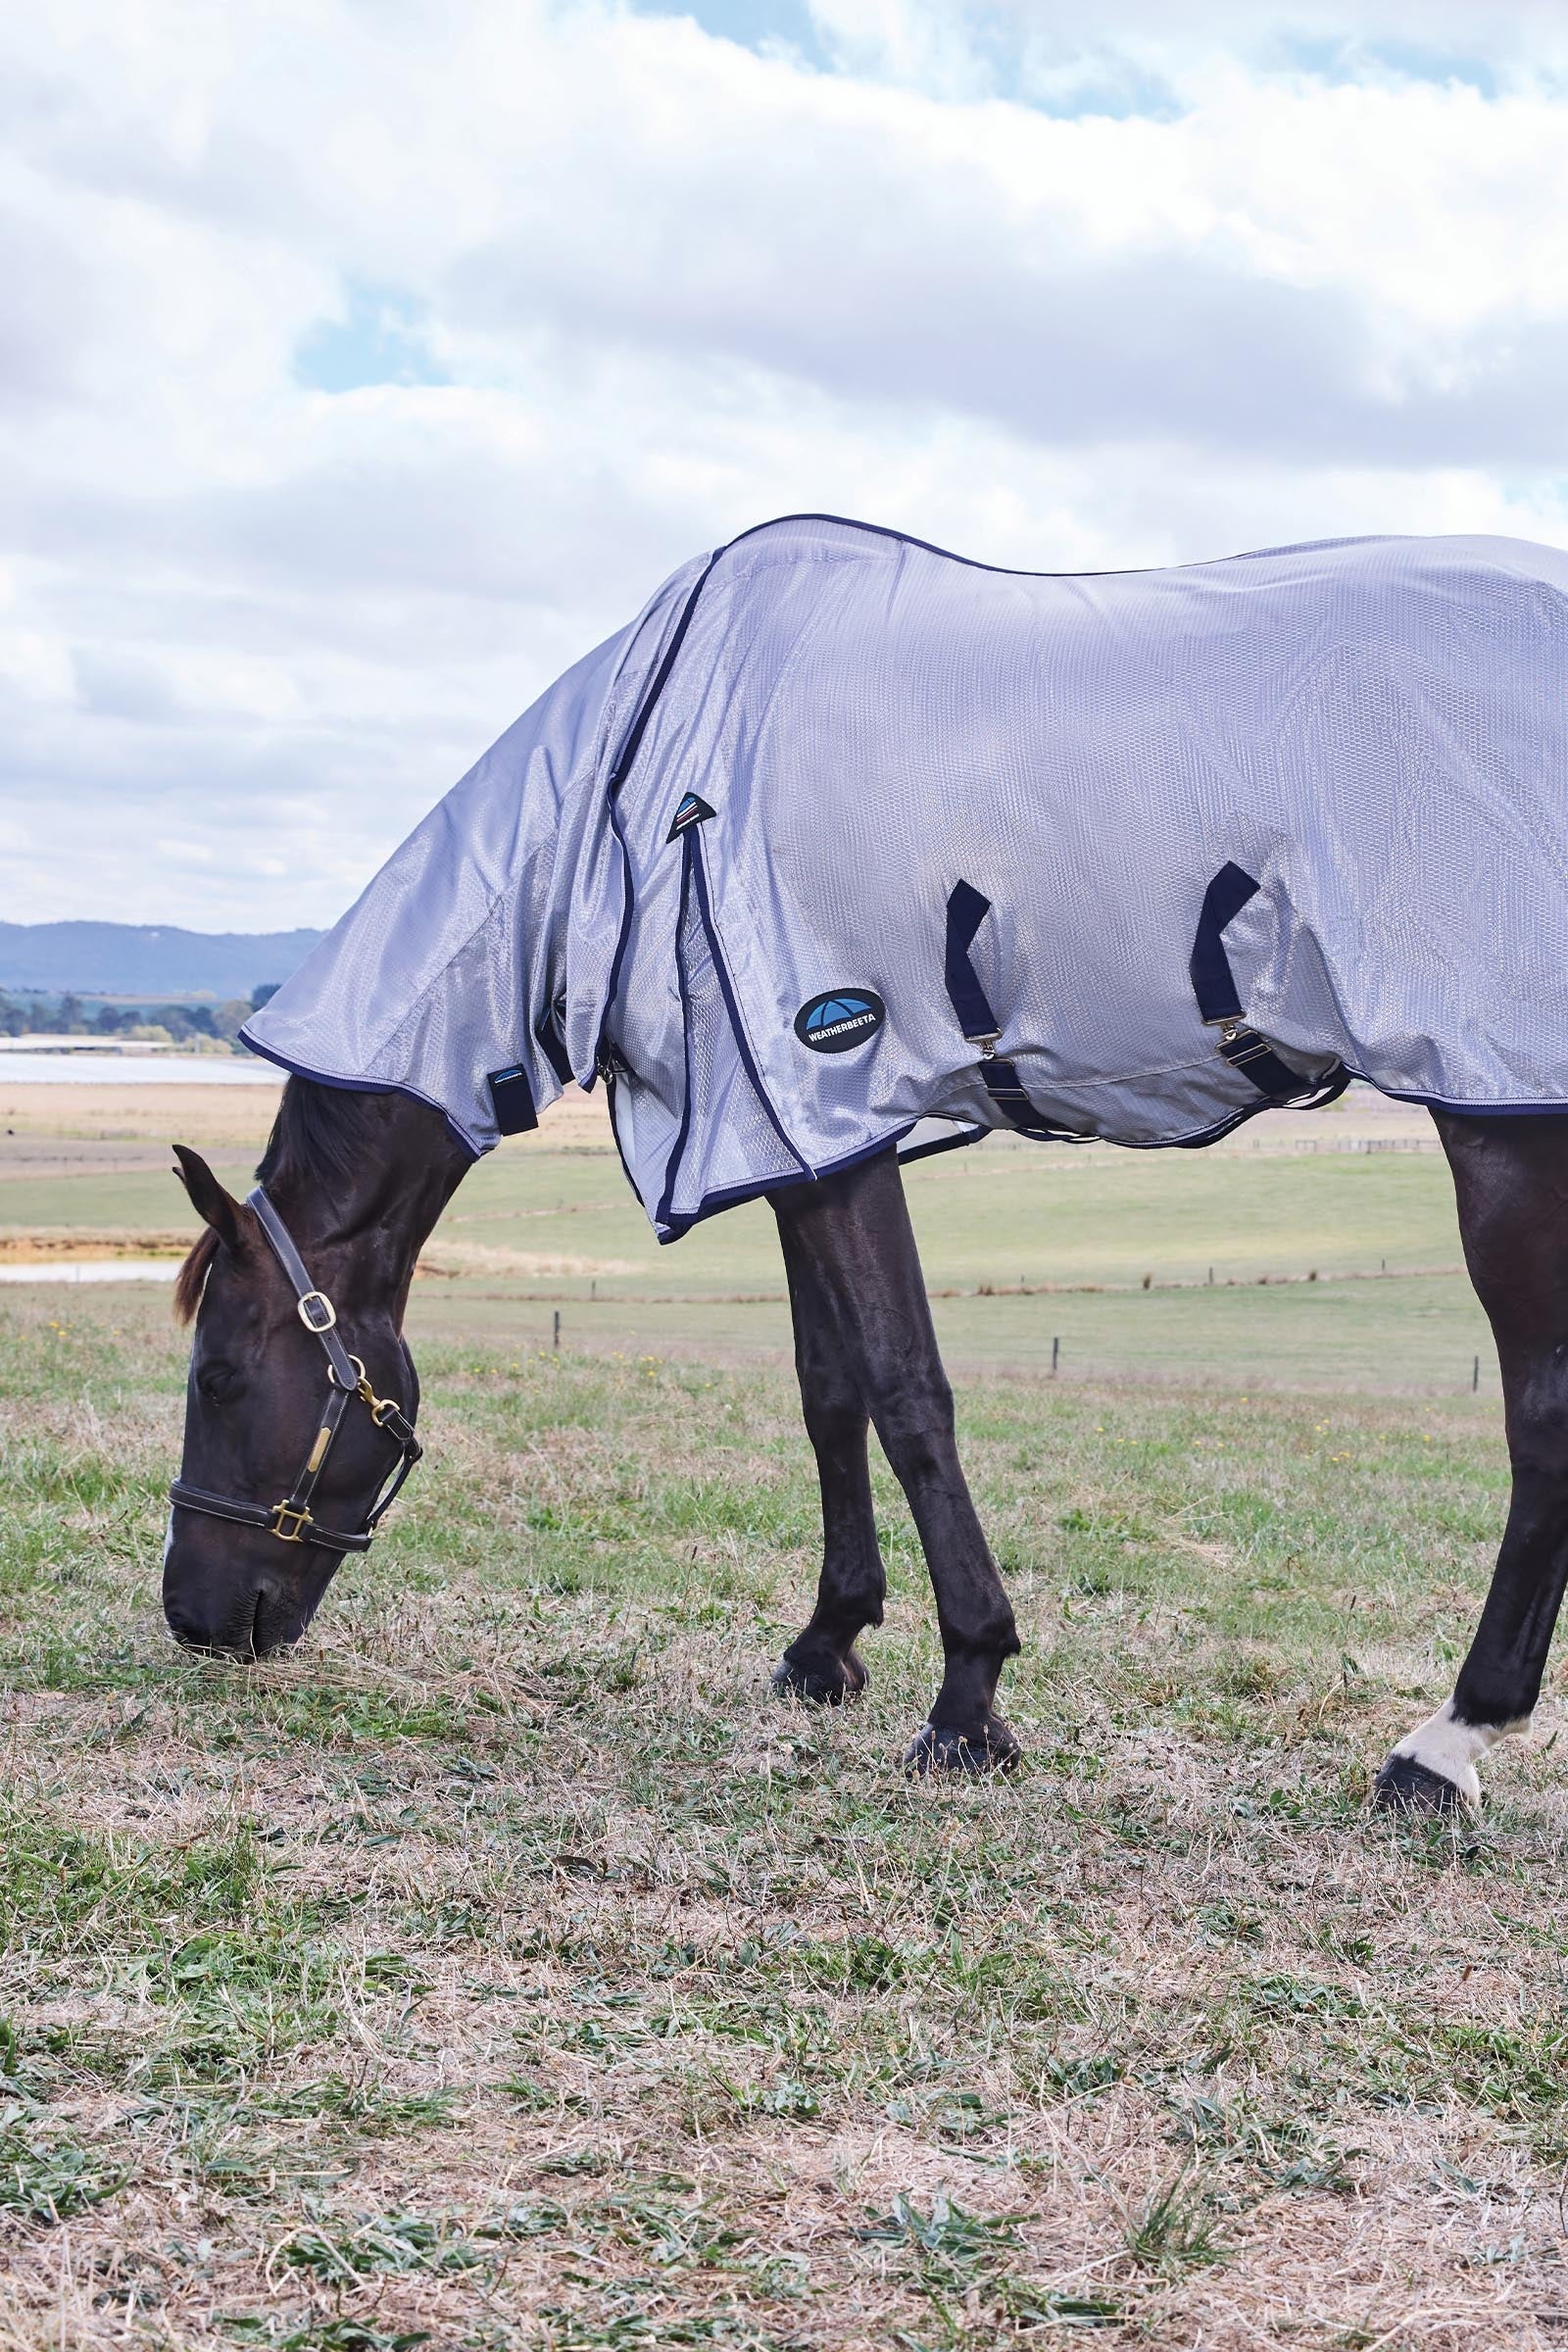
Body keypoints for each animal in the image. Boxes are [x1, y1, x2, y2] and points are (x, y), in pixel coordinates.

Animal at [163, 515, 1568, 1814]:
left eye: (220, 1378)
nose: (195, 1618)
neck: (640, 787)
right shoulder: (782, 1137)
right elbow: (828, 1386)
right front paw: (828, 1642)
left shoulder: (825, 1112)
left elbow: (905, 1393)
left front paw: (968, 1700)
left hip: (1502, 1124)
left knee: (1541, 1416)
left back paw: (1444, 1745)